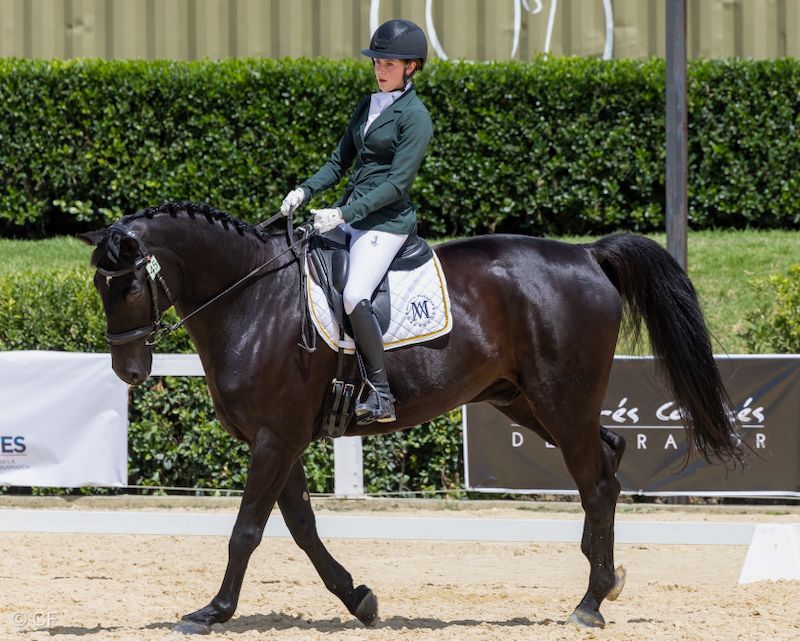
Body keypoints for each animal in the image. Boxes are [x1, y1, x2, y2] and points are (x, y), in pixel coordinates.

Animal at [78, 200, 743, 632]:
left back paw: (590, 602)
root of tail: (587, 255)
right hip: (524, 401)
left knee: (598, 481)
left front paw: (213, 611)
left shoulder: (275, 437)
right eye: (99, 287)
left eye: (128, 285)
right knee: (605, 458)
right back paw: (601, 579)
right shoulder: (281, 439)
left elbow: (247, 530)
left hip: (562, 400)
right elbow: (302, 527)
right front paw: (360, 600)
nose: (129, 371)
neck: (252, 298)